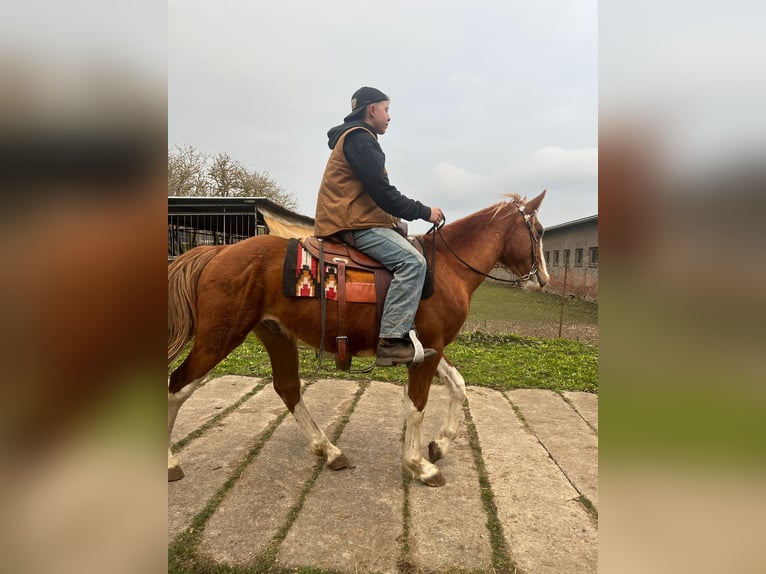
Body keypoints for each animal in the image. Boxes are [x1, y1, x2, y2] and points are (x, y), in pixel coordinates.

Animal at [168, 190, 548, 487]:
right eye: (539, 230)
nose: (543, 279)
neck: (446, 269)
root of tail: (217, 252)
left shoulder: (429, 348)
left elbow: (458, 385)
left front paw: (440, 445)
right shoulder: (429, 350)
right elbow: (417, 407)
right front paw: (419, 466)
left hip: (276, 335)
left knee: (288, 389)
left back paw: (330, 451)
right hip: (218, 338)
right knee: (177, 386)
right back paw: (171, 462)